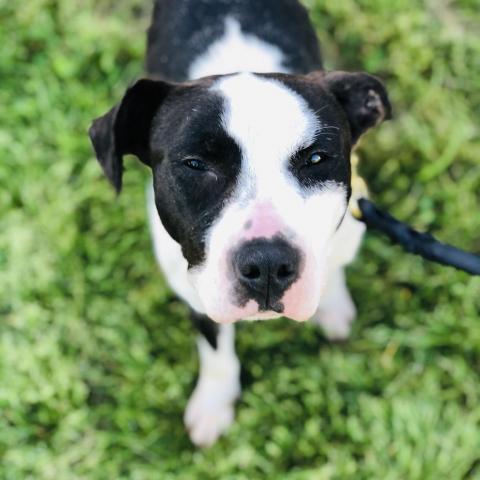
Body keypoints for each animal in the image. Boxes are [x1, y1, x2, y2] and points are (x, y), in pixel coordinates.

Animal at [88, 0, 392, 446]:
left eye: (317, 158)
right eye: (196, 164)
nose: (267, 265)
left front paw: (332, 303)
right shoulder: (197, 293)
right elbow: (216, 353)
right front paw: (214, 403)